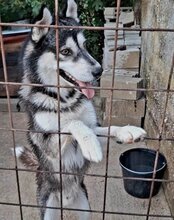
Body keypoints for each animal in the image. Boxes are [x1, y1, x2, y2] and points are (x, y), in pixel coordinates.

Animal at [16, 0, 147, 219]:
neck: (65, 100)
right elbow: (73, 123)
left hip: (85, 208)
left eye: (84, 46)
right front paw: (90, 144)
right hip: (48, 207)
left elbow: (105, 128)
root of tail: (66, 202)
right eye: (66, 52)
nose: (99, 71)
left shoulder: (94, 127)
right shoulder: (50, 146)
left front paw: (127, 131)